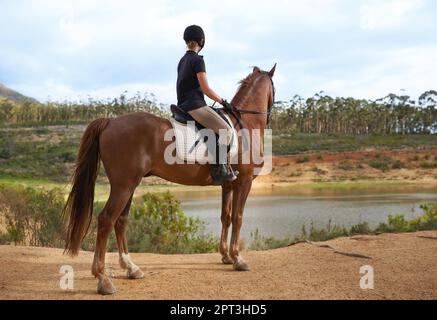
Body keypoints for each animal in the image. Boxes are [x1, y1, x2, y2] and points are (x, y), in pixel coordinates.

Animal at [62, 63, 274, 296]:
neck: (245, 124)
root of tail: (110, 121)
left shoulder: (228, 185)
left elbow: (225, 217)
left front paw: (226, 256)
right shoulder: (244, 182)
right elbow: (238, 217)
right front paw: (237, 259)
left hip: (129, 185)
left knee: (120, 221)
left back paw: (131, 268)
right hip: (123, 185)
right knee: (107, 220)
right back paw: (103, 279)